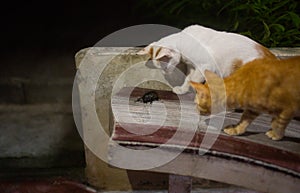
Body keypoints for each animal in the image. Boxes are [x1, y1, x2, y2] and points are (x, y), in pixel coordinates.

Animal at [137, 24, 276, 94]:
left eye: (165, 67)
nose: (165, 73)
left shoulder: (206, 66)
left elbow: (193, 79)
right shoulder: (192, 67)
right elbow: (188, 79)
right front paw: (183, 90)